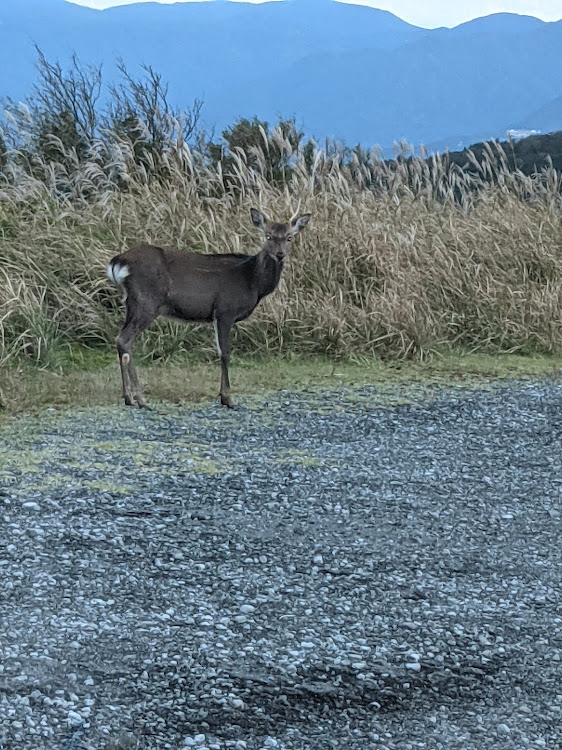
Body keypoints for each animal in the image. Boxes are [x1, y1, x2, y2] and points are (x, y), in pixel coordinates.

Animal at [104, 209, 306, 412]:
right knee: (124, 339)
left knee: (121, 340)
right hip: (147, 302)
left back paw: (128, 397)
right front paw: (227, 398)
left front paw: (224, 396)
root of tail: (117, 262)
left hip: (131, 304)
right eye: (268, 236)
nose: (280, 254)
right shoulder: (225, 310)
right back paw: (140, 398)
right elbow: (224, 352)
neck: (253, 283)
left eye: (289, 237)